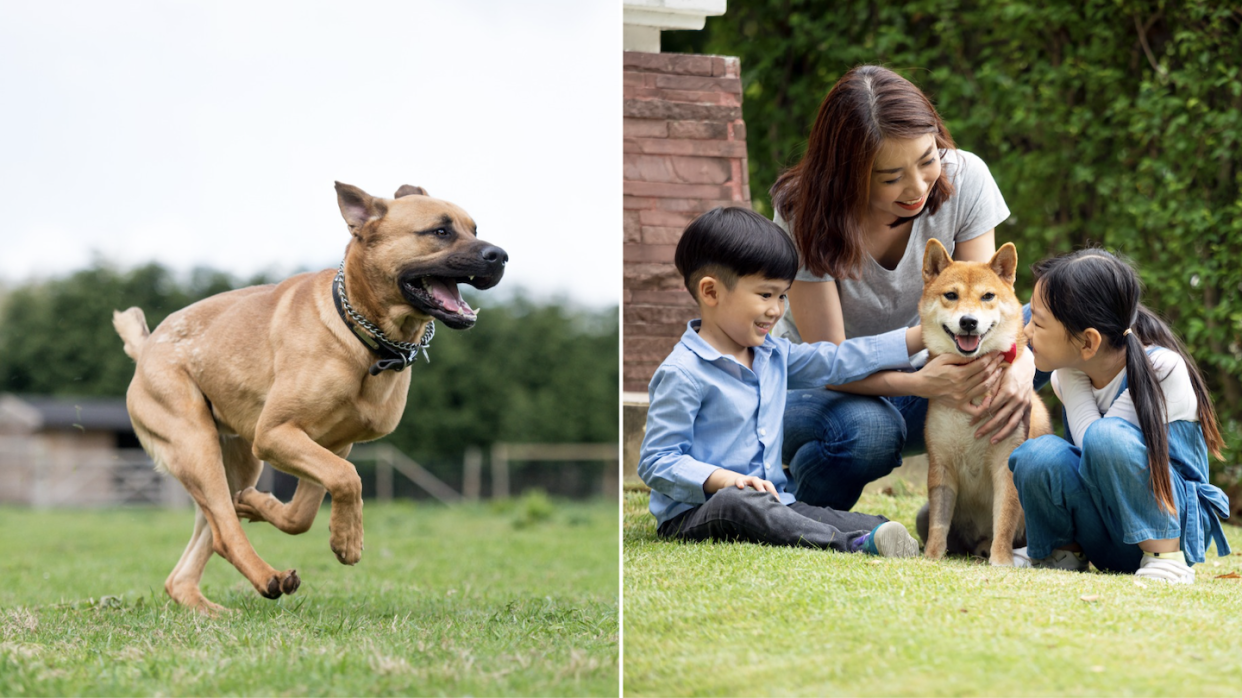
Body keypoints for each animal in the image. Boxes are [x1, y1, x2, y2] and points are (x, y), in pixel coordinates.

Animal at [111, 182, 506, 611]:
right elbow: (348, 479)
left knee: (198, 551)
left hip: (236, 463)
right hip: (196, 445)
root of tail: (146, 347)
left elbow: (302, 514)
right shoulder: (276, 434)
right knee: (224, 532)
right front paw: (349, 541)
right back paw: (266, 577)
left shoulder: (331, 443)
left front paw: (263, 507)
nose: (500, 256)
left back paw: (212, 599)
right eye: (440, 231)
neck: (362, 336)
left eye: (474, 228)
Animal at [919, 238, 1053, 566]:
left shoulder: (1007, 463)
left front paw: (1001, 561)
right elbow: (939, 523)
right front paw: (931, 556)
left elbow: (1004, 519)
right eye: (951, 295)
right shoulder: (941, 466)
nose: (968, 322)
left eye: (988, 296)